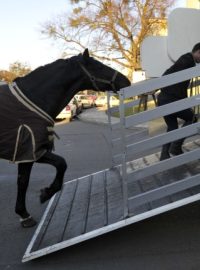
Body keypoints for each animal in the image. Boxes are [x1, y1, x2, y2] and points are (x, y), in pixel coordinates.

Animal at [0, 49, 130, 227]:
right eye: (99, 66)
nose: (127, 81)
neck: (34, 98)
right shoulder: (31, 151)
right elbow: (61, 164)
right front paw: (46, 193)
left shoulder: (27, 155)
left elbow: (23, 181)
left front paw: (24, 213)